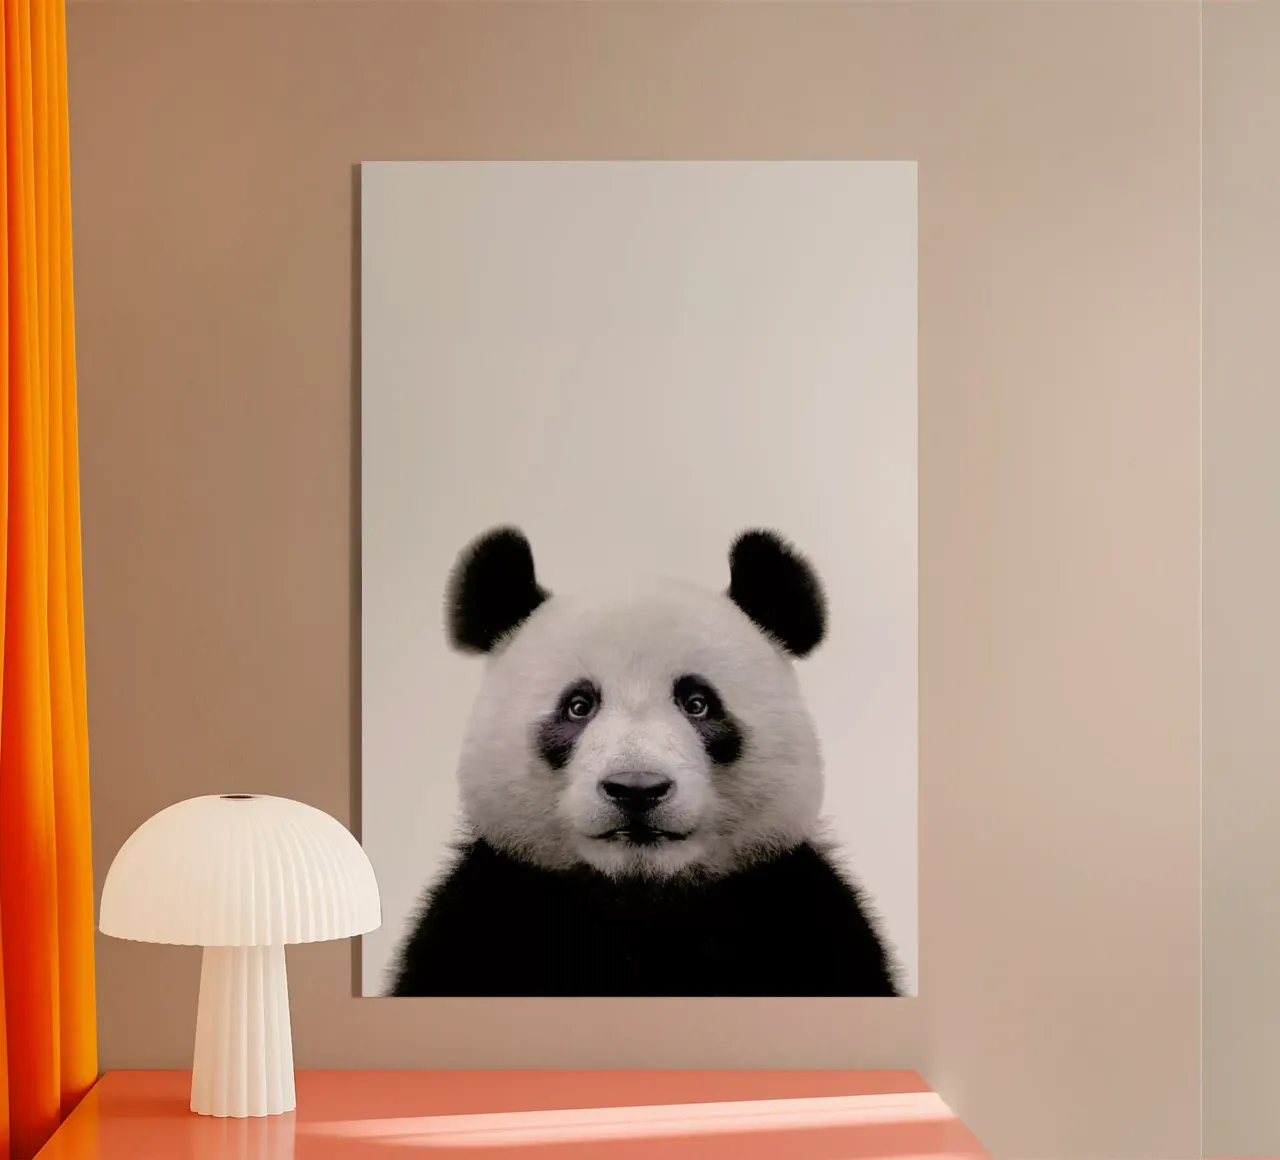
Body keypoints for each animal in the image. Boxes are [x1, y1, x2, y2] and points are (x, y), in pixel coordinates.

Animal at [388, 525, 901, 998]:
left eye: (698, 704)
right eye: (578, 706)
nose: (636, 788)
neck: (639, 903)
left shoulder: (804, 917)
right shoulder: (480, 914)